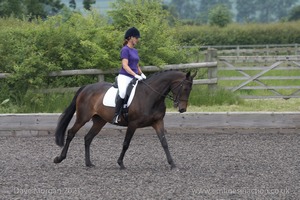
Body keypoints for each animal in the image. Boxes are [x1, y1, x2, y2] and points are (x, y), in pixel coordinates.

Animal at [53, 69, 197, 170]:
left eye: (190, 89)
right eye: (185, 88)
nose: (182, 109)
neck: (150, 95)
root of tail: (86, 87)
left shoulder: (158, 122)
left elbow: (164, 143)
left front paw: (172, 164)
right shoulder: (133, 124)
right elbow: (126, 143)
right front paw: (120, 163)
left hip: (99, 121)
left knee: (88, 138)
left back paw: (89, 163)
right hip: (82, 118)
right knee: (71, 133)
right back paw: (59, 158)